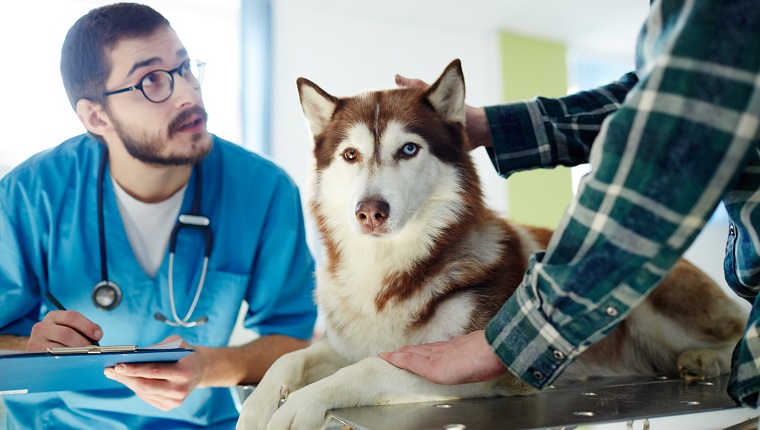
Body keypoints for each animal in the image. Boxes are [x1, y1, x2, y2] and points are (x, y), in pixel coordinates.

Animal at [239, 60, 748, 430]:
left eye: (409, 150)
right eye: (350, 154)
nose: (370, 211)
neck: (390, 269)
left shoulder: (469, 367)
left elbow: (365, 371)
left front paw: (298, 406)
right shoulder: (345, 342)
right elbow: (290, 357)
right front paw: (258, 405)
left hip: (646, 305)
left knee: (739, 327)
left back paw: (709, 358)